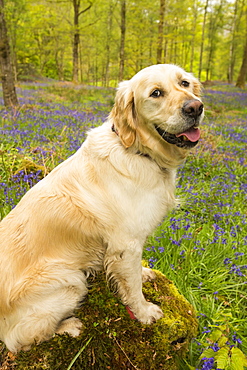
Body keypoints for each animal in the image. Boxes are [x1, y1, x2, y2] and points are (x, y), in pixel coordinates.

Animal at [0, 64, 204, 352]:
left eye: (185, 83)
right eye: (156, 93)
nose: (195, 107)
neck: (137, 151)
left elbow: (135, 272)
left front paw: (144, 273)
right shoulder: (125, 244)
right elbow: (132, 286)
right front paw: (144, 312)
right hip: (70, 281)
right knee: (20, 339)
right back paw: (69, 326)